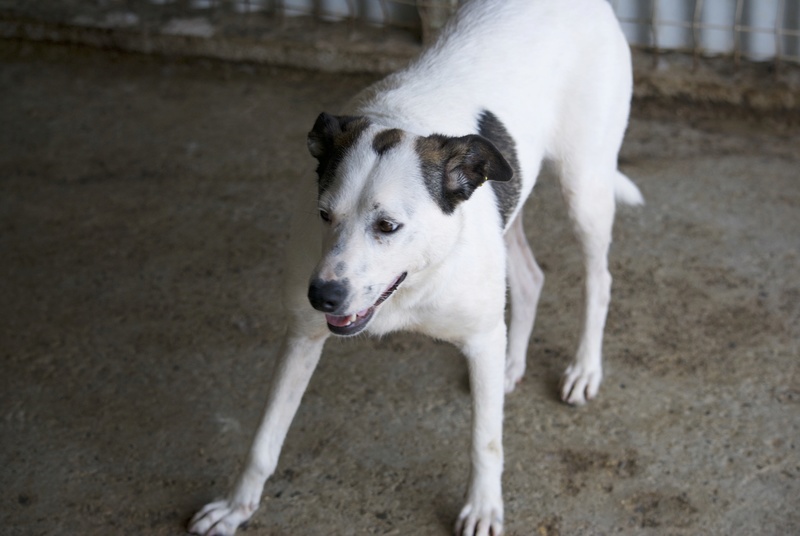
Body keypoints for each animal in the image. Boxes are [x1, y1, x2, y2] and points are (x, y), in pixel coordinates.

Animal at [189, 0, 644, 532]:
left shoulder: (479, 336)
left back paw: (584, 368)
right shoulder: (301, 337)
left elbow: (486, 441)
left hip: (584, 187)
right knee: (531, 278)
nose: (321, 296)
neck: (413, 285)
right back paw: (512, 363)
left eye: (388, 226)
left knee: (599, 279)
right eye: (324, 215)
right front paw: (235, 507)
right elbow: (264, 439)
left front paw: (483, 507)